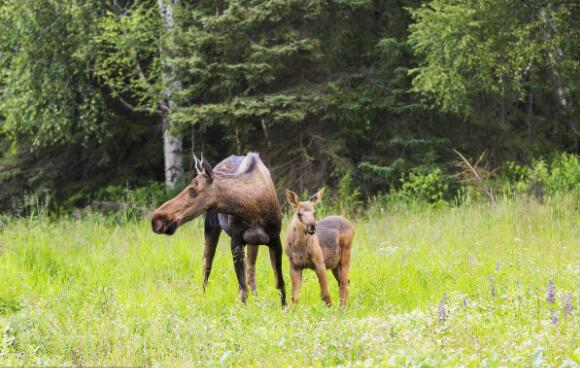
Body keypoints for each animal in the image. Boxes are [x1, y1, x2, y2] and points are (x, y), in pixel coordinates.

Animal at [151, 152, 284, 304]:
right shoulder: (236, 241)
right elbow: (243, 288)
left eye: (193, 190)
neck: (253, 212)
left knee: (251, 269)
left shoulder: (275, 239)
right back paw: (202, 299)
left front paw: (286, 307)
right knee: (206, 266)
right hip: (211, 227)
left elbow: (280, 283)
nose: (157, 219)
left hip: (252, 241)